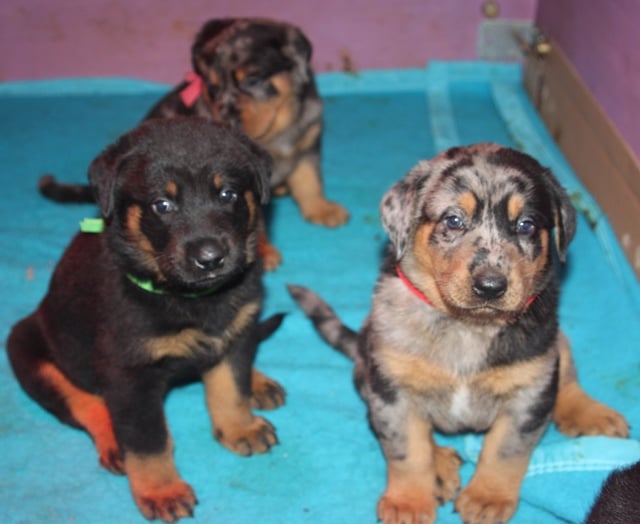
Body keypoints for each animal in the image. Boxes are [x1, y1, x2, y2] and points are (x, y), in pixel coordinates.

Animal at [6, 118, 284, 524]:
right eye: (162, 205)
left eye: (228, 195)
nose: (210, 258)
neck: (187, 297)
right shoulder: (129, 375)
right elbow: (148, 440)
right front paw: (161, 490)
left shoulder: (236, 334)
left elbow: (231, 387)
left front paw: (240, 427)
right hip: (25, 345)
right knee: (84, 402)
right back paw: (112, 444)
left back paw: (259, 383)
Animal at [292, 143, 632, 524]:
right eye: (454, 220)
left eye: (526, 225)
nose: (490, 286)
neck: (468, 327)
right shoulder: (392, 390)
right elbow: (408, 451)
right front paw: (409, 502)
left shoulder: (530, 390)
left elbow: (505, 451)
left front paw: (487, 497)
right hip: (366, 370)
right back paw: (440, 467)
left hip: (554, 344)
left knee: (567, 376)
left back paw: (591, 413)